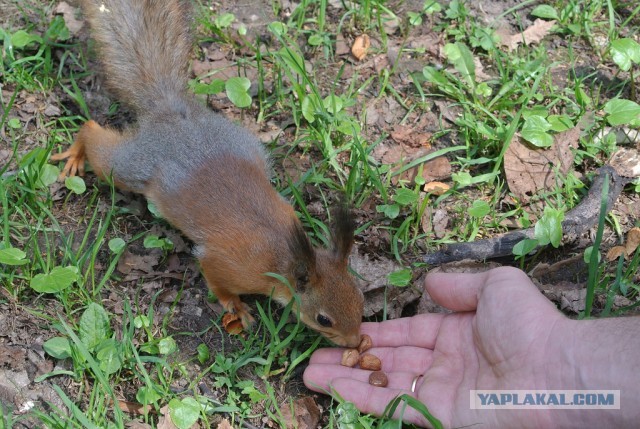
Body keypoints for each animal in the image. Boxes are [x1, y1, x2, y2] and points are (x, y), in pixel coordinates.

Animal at [52, 0, 362, 346]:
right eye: (324, 318)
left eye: (360, 299)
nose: (356, 342)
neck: (283, 257)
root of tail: (173, 116)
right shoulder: (230, 264)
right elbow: (215, 278)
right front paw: (234, 305)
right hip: (132, 165)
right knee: (96, 138)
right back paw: (76, 153)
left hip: (247, 145)